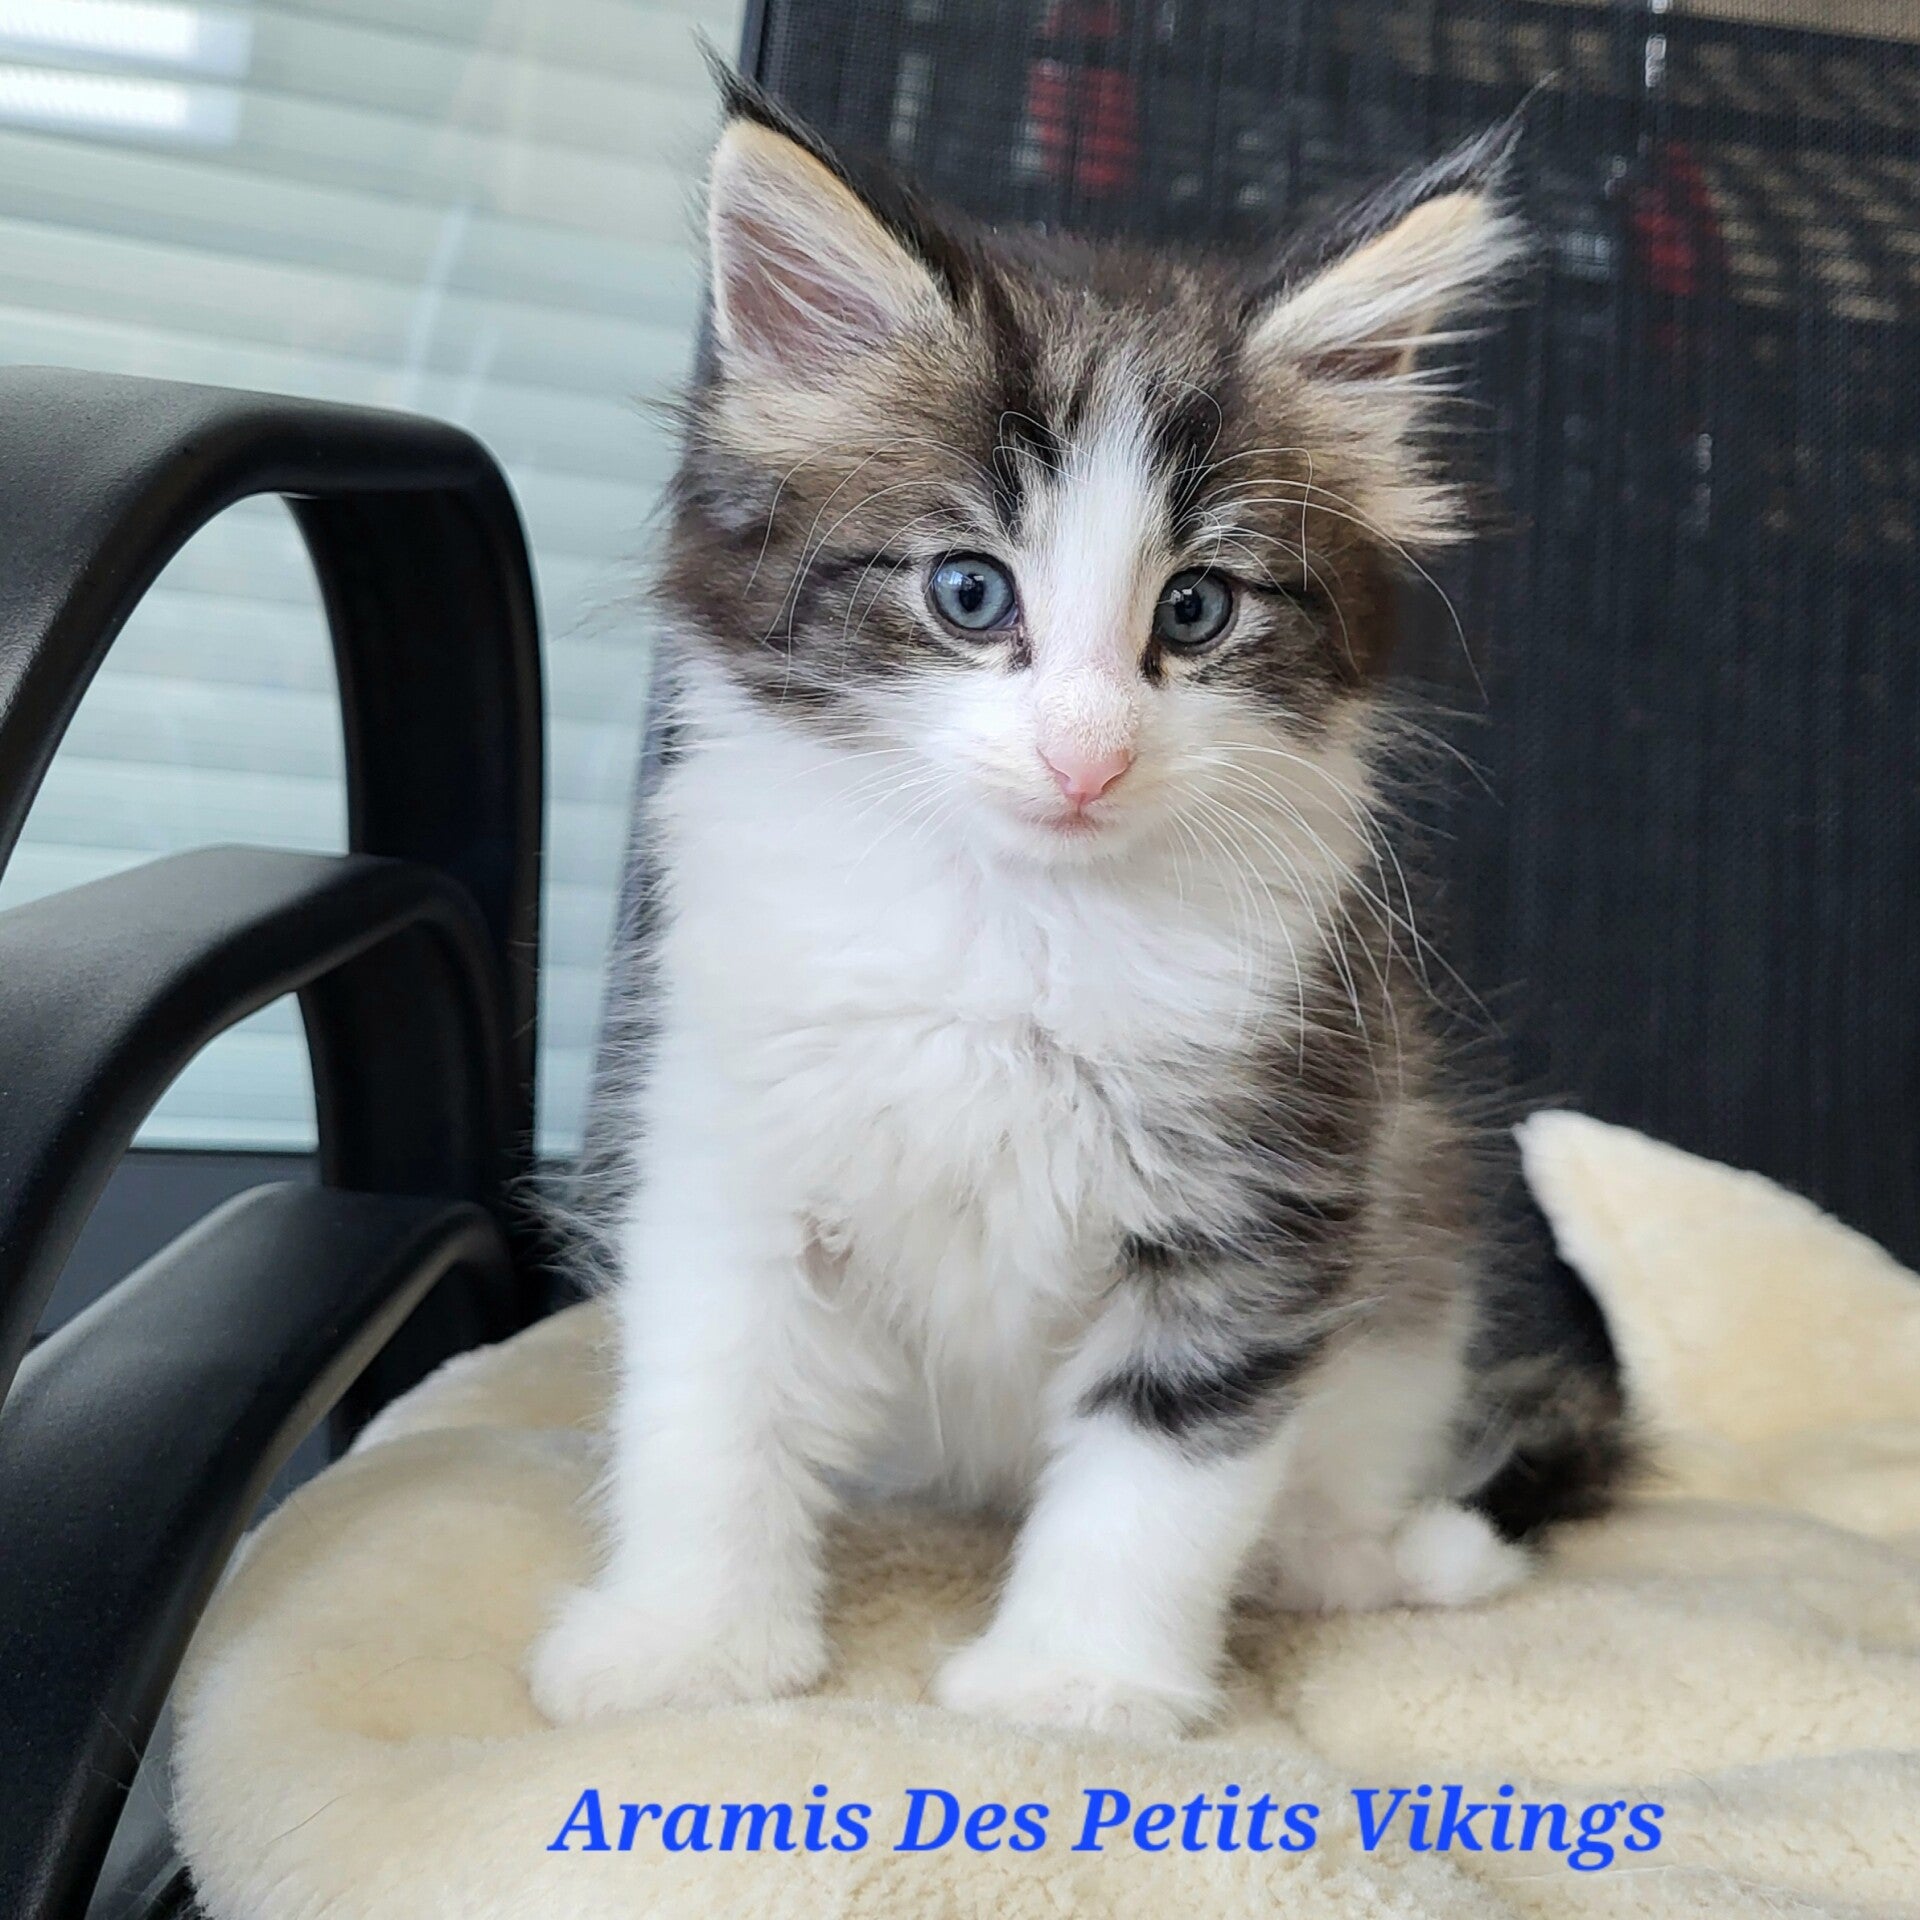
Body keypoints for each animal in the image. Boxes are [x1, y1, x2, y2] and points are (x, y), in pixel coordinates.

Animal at [529, 72, 1632, 1738]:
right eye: (970, 593)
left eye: (1198, 608)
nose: (1086, 753)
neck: (1016, 931)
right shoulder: (735, 1148)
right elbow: (714, 1412)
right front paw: (690, 1647)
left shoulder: (1265, 1190)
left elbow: (1157, 1475)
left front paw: (1073, 1694)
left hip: (1411, 1265)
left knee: (1338, 1491)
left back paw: (1392, 1557)